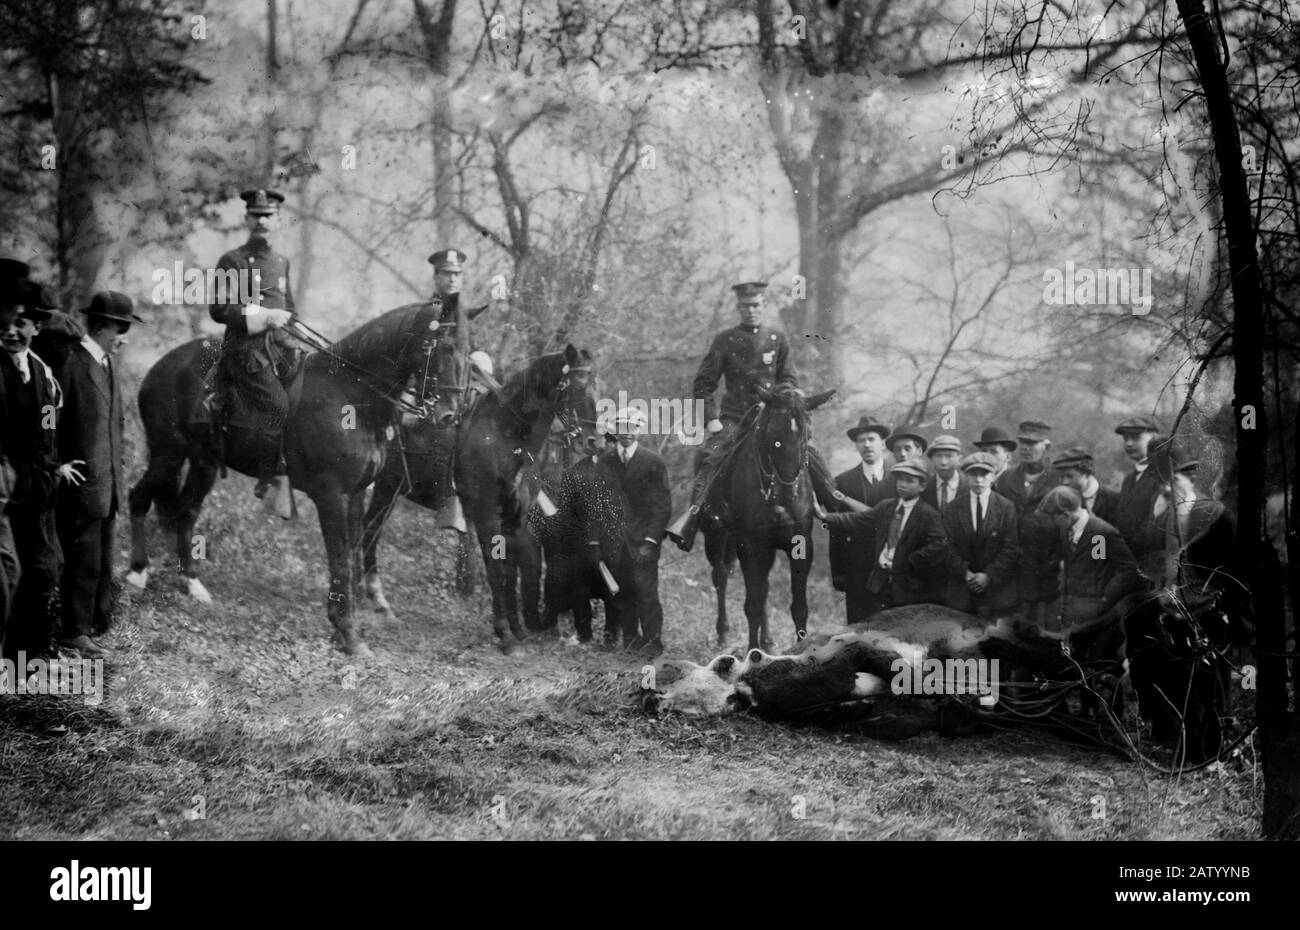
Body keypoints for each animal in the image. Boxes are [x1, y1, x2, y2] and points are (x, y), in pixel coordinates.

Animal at [125, 301, 467, 658]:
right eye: (442, 347)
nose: (450, 414)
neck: (350, 393)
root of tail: (161, 365)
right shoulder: (332, 496)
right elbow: (340, 559)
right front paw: (349, 633)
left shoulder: (356, 495)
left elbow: (352, 555)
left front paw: (347, 628)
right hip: (167, 452)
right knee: (139, 497)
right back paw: (137, 574)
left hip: (203, 462)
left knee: (186, 512)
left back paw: (191, 583)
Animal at [358, 343, 595, 647]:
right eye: (579, 384)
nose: (594, 440)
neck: (506, 436)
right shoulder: (486, 516)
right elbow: (496, 569)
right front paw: (504, 632)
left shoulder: (515, 519)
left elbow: (512, 570)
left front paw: (517, 630)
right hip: (386, 487)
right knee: (369, 531)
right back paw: (377, 601)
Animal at [707, 382, 837, 650]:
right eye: (774, 437)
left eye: (806, 434)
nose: (787, 494)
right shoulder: (749, 545)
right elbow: (752, 603)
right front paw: (752, 651)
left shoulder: (801, 545)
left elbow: (799, 606)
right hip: (718, 536)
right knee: (721, 576)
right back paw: (724, 633)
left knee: (762, 585)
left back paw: (766, 640)